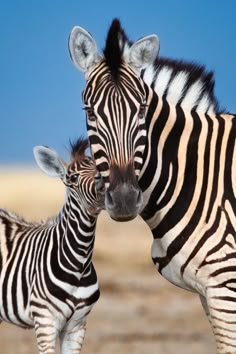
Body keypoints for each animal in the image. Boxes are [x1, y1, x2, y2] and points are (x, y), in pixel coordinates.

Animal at [0, 139, 104, 354]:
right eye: (72, 178)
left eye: (100, 169)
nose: (102, 187)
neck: (80, 260)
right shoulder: (45, 320)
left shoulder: (77, 325)